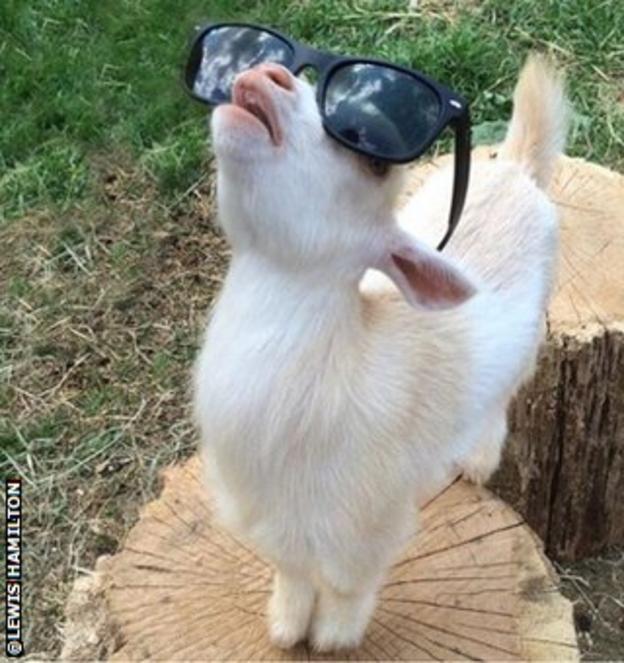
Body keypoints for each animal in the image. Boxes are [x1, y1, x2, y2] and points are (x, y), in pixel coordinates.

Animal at [193, 54, 568, 652]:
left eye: (373, 162)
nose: (266, 75)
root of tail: (515, 167)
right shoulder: (274, 519)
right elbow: (292, 572)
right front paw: (284, 628)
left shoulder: (367, 522)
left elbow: (346, 586)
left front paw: (333, 639)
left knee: (505, 394)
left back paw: (477, 461)